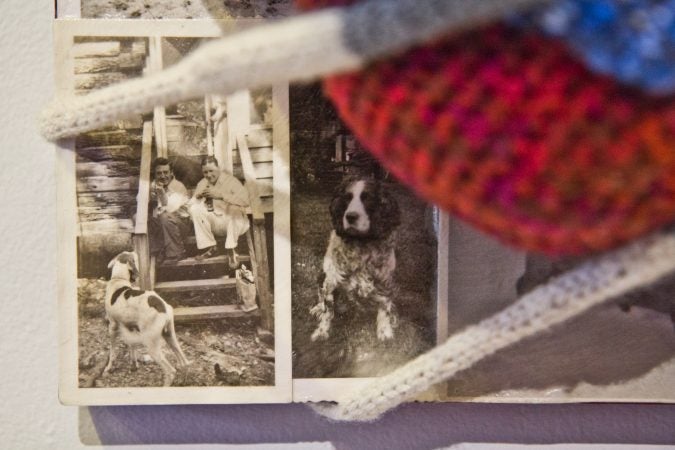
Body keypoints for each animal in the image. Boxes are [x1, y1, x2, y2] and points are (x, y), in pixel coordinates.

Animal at [103, 251, 189, 384]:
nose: (135, 251)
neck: (118, 279)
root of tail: (163, 306)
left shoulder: (112, 326)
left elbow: (112, 352)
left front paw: (108, 368)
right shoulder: (130, 327)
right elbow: (131, 346)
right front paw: (134, 366)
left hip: (152, 345)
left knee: (170, 371)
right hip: (170, 336)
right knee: (185, 362)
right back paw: (183, 381)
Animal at [312, 179, 402, 342]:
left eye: (367, 198)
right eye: (347, 198)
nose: (350, 216)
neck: (362, 243)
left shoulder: (385, 281)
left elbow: (384, 305)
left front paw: (384, 330)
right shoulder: (331, 280)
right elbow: (328, 310)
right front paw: (322, 331)